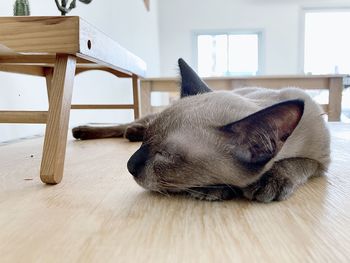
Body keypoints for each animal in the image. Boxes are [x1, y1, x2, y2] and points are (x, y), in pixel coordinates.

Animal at [72, 58, 330, 203]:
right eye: (146, 142)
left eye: (166, 155)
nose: (129, 165)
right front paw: (212, 190)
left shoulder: (322, 163)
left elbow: (298, 162)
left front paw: (271, 180)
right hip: (145, 118)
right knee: (125, 123)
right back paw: (87, 130)